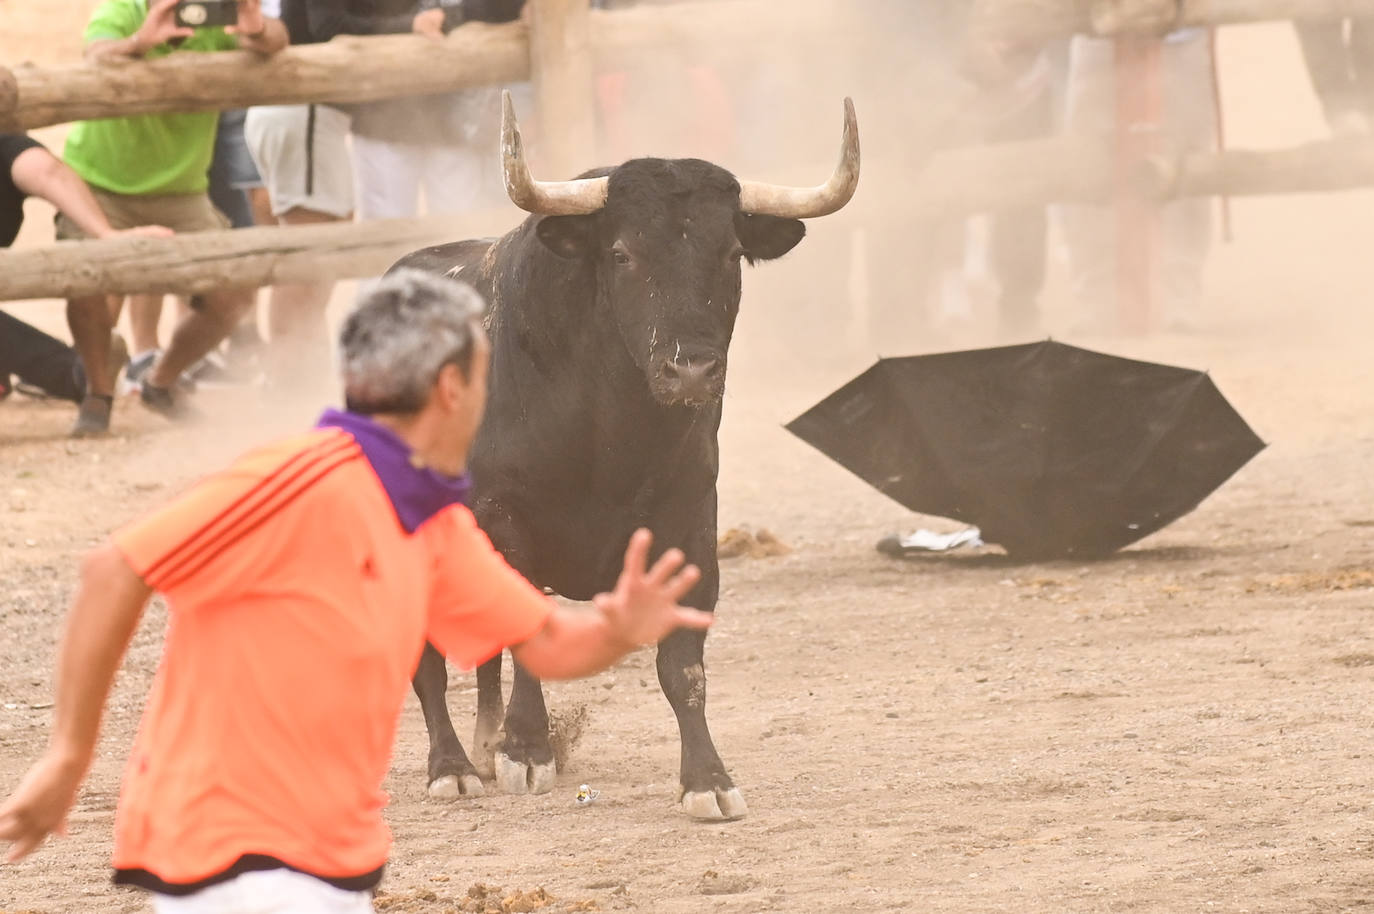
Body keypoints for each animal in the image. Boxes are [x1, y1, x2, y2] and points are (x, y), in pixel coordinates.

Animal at [387, 92, 857, 819]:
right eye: (622, 253)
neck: (609, 435)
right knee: (429, 662)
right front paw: (529, 750)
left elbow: (682, 664)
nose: (691, 370)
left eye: (731, 253)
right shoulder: (504, 518)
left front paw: (708, 779)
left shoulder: (690, 521)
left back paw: (485, 744)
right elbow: (527, 635)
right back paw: (454, 767)